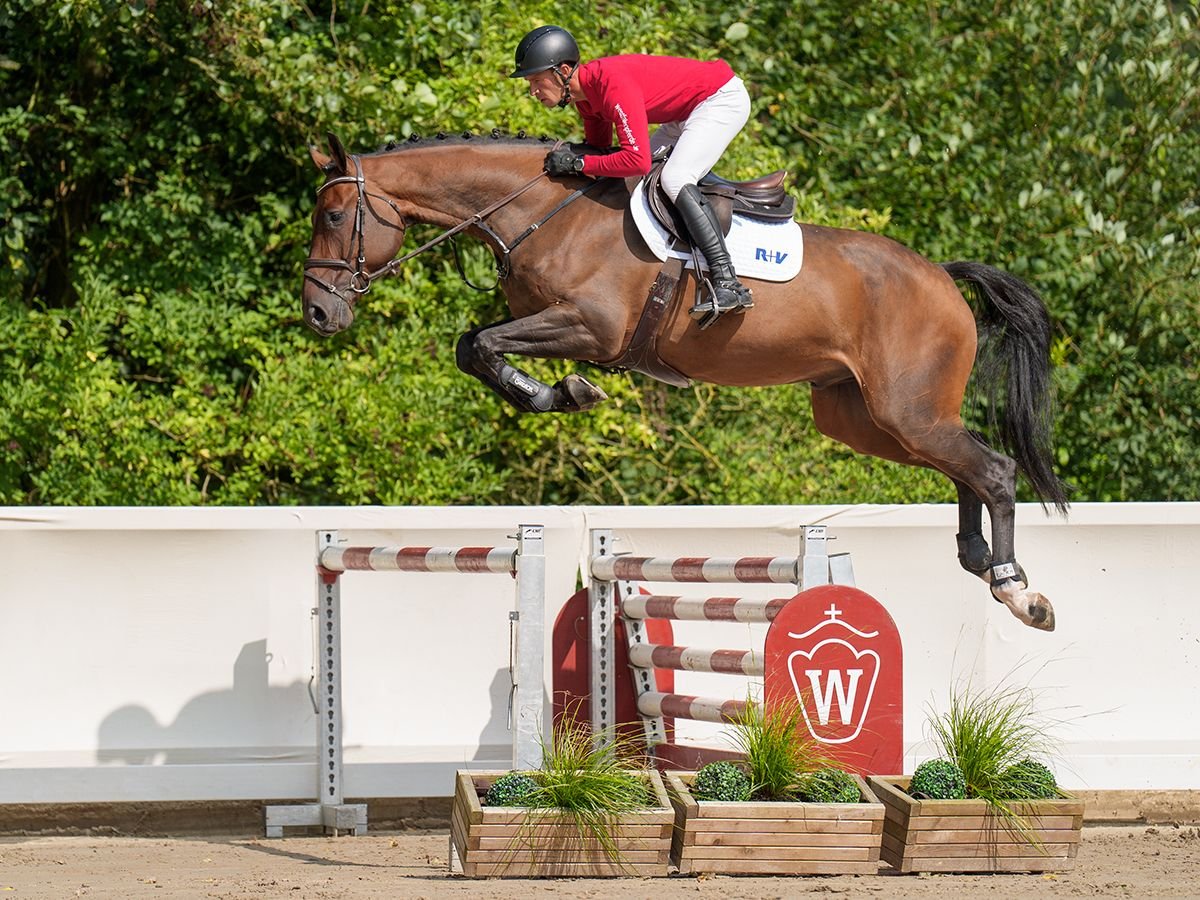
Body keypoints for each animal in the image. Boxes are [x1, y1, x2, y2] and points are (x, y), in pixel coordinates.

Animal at [300, 132, 1070, 633]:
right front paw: (558, 395)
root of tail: (943, 275)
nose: (317, 313)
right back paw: (980, 563)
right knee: (965, 469)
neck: (541, 210)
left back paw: (1019, 593)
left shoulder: (589, 327)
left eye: (334, 216)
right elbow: (471, 346)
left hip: (906, 411)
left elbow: (483, 344)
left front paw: (568, 393)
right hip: (868, 420)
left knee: (994, 470)